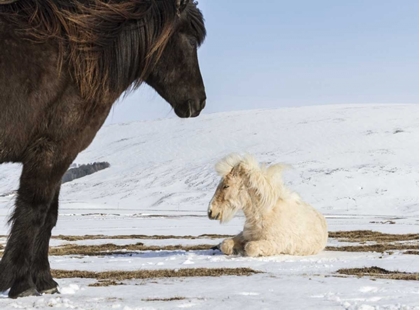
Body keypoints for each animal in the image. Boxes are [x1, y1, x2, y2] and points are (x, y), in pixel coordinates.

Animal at [0, 0, 206, 298]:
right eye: (190, 41)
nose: (199, 102)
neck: (77, 60)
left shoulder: (62, 155)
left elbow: (49, 216)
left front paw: (45, 281)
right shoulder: (51, 151)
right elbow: (33, 212)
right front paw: (21, 284)